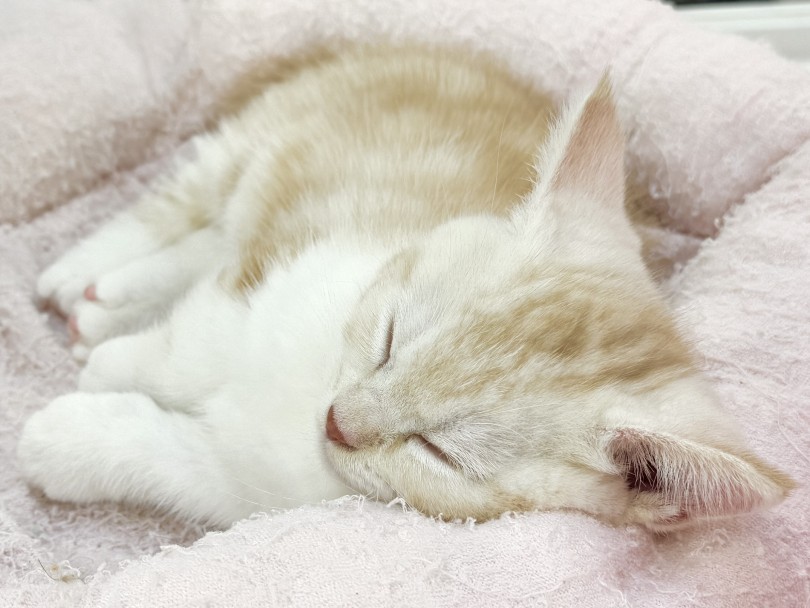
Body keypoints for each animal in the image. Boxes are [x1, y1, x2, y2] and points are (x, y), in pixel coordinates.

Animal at [18, 46, 794, 532]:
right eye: (390, 339)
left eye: (438, 451)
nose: (337, 422)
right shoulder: (293, 266)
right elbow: (198, 341)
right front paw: (117, 363)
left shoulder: (253, 487)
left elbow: (180, 460)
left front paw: (68, 436)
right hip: (272, 136)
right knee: (195, 201)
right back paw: (81, 275)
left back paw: (106, 304)